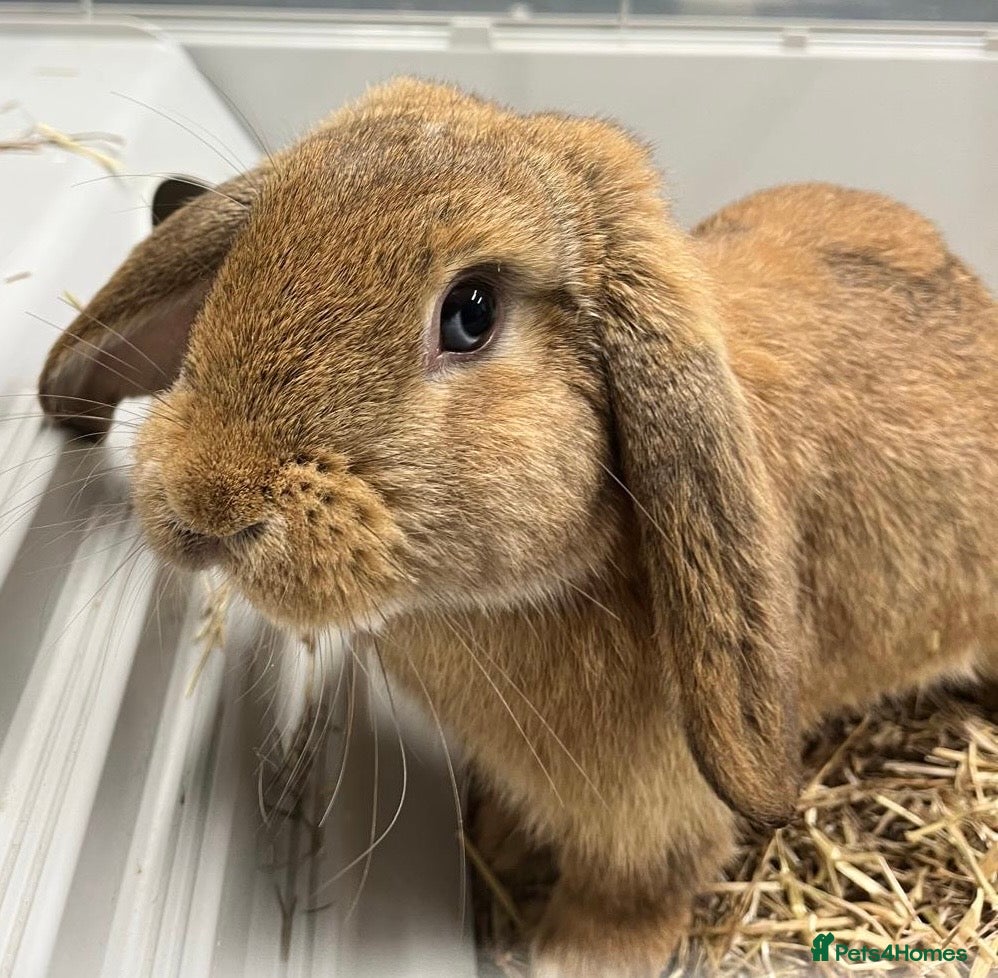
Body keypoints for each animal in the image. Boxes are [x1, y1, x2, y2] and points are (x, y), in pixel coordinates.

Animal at [38, 78, 998, 977]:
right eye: (242, 261)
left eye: (471, 312)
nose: (208, 503)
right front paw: (496, 843)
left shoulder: (661, 812)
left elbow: (636, 887)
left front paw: (577, 955)